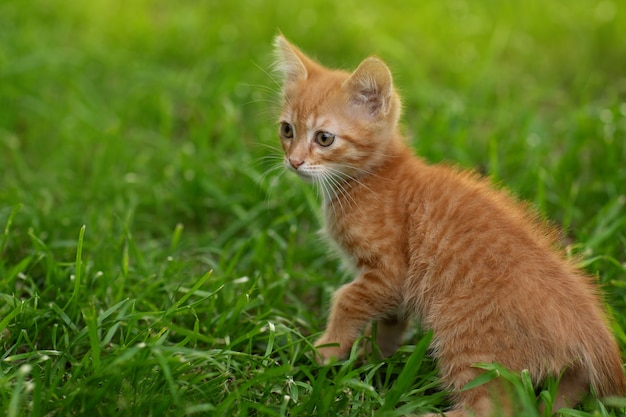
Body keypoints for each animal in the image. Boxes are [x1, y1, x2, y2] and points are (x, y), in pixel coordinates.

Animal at [270, 34, 620, 414]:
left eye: (324, 138)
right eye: (287, 130)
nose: (294, 161)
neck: (374, 177)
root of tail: (594, 332)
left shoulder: (389, 272)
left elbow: (346, 299)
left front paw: (325, 352)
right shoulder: (394, 290)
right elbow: (391, 321)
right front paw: (373, 358)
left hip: (467, 339)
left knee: (491, 407)